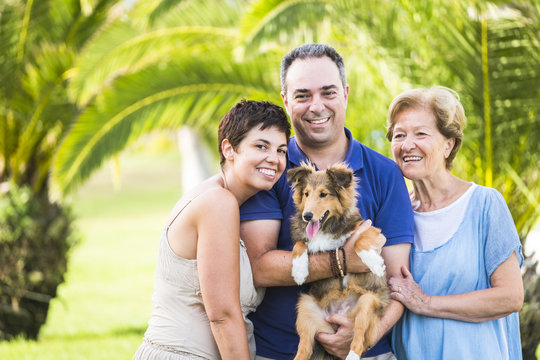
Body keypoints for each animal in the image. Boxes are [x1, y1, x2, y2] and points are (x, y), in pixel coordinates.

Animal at [286, 163, 392, 360]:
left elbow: (359, 241)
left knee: (358, 337)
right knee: (304, 348)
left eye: (323, 194)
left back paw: (352, 355)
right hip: (305, 307)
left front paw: (375, 263)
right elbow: (299, 244)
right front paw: (299, 271)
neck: (326, 227)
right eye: (306, 194)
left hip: (367, 302)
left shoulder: (371, 231)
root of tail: (338, 315)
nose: (307, 216)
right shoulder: (305, 240)